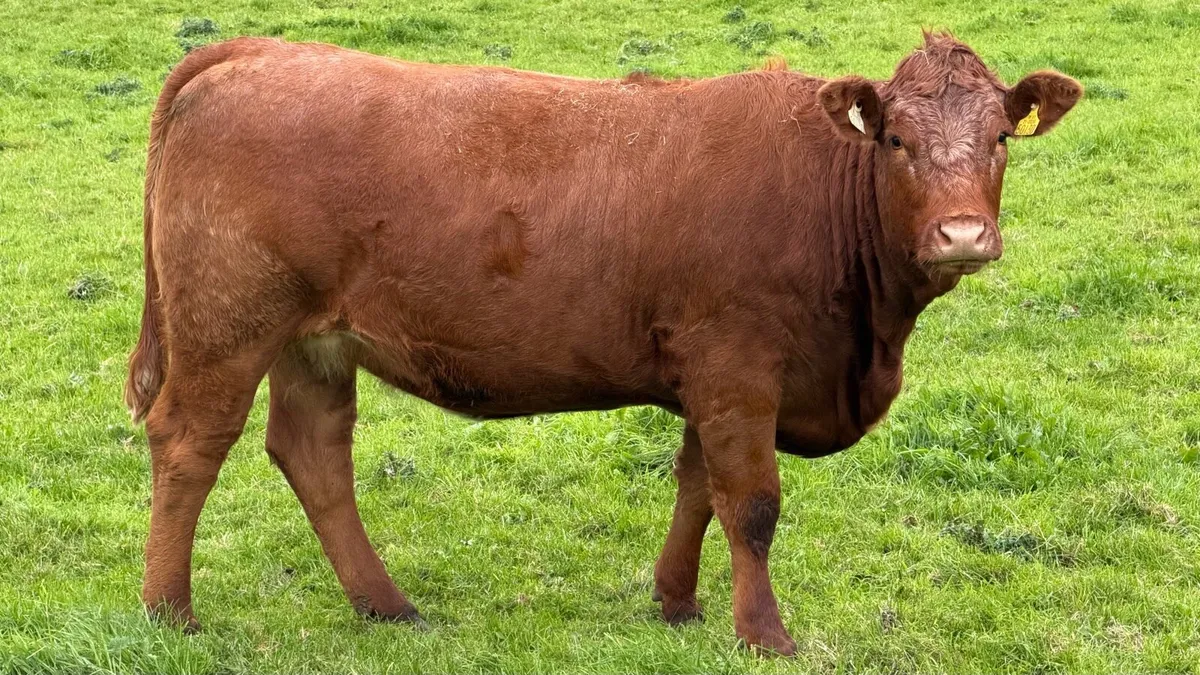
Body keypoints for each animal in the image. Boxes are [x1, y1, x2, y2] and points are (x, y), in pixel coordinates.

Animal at [125, 32, 1080, 655]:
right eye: (896, 139)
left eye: (1000, 137)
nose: (962, 235)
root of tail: (258, 50)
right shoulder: (739, 368)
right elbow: (752, 503)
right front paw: (765, 633)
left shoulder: (709, 374)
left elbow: (697, 489)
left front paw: (678, 602)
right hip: (227, 326)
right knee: (191, 444)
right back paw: (170, 611)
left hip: (314, 343)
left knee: (314, 453)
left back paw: (386, 604)